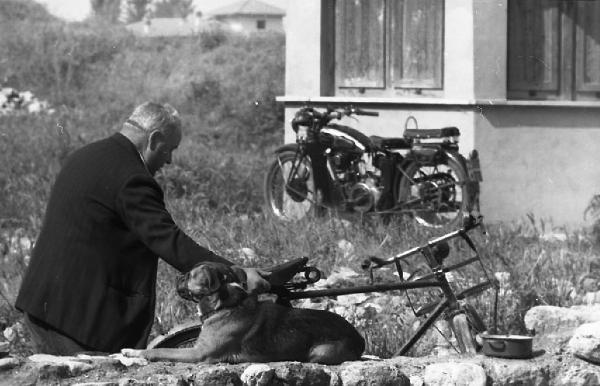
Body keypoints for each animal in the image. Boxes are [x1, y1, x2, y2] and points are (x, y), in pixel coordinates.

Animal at [122, 260, 366, 364]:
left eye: (190, 275)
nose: (178, 276)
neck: (225, 305)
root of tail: (359, 338)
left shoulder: (199, 354)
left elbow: (160, 351)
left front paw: (133, 352)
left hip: (319, 352)